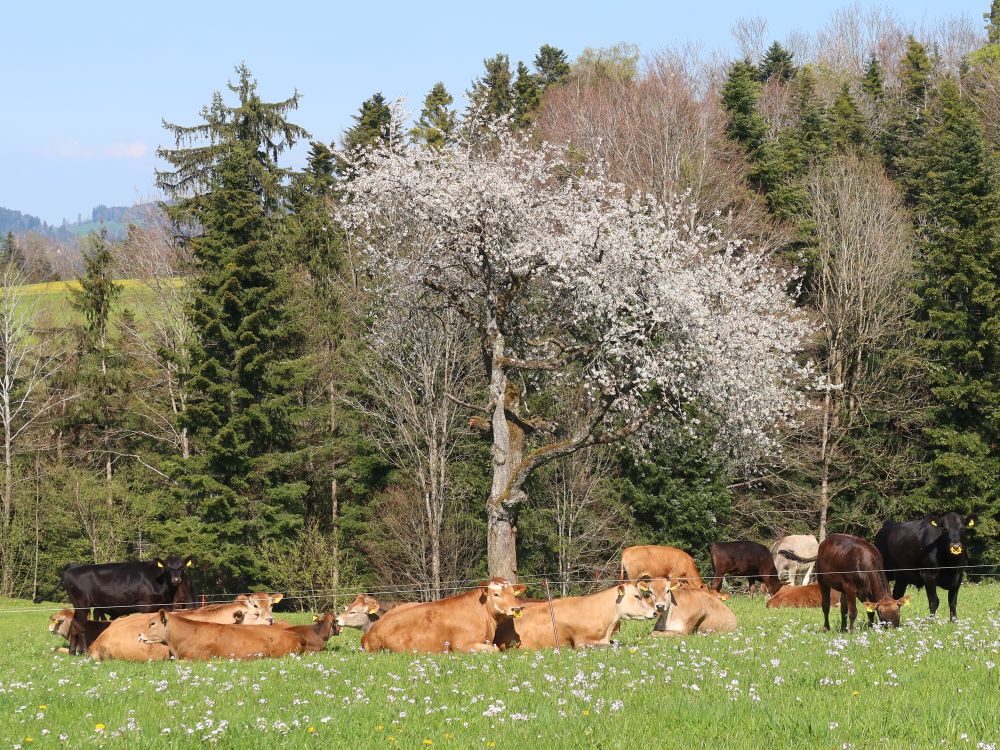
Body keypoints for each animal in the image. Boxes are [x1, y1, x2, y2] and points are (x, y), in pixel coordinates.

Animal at [35, 556, 195, 656]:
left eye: (182, 568)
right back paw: (84, 652)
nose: (176, 579)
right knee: (80, 626)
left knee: (74, 624)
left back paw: (72, 652)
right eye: (167, 568)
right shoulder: (147, 606)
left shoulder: (166, 606)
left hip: (79, 606)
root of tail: (73, 566)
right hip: (82, 604)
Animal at [364, 580, 528, 656]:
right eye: (496, 594)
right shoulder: (462, 645)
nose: (515, 609)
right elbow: (495, 650)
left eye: (512, 593)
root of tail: (370, 632)